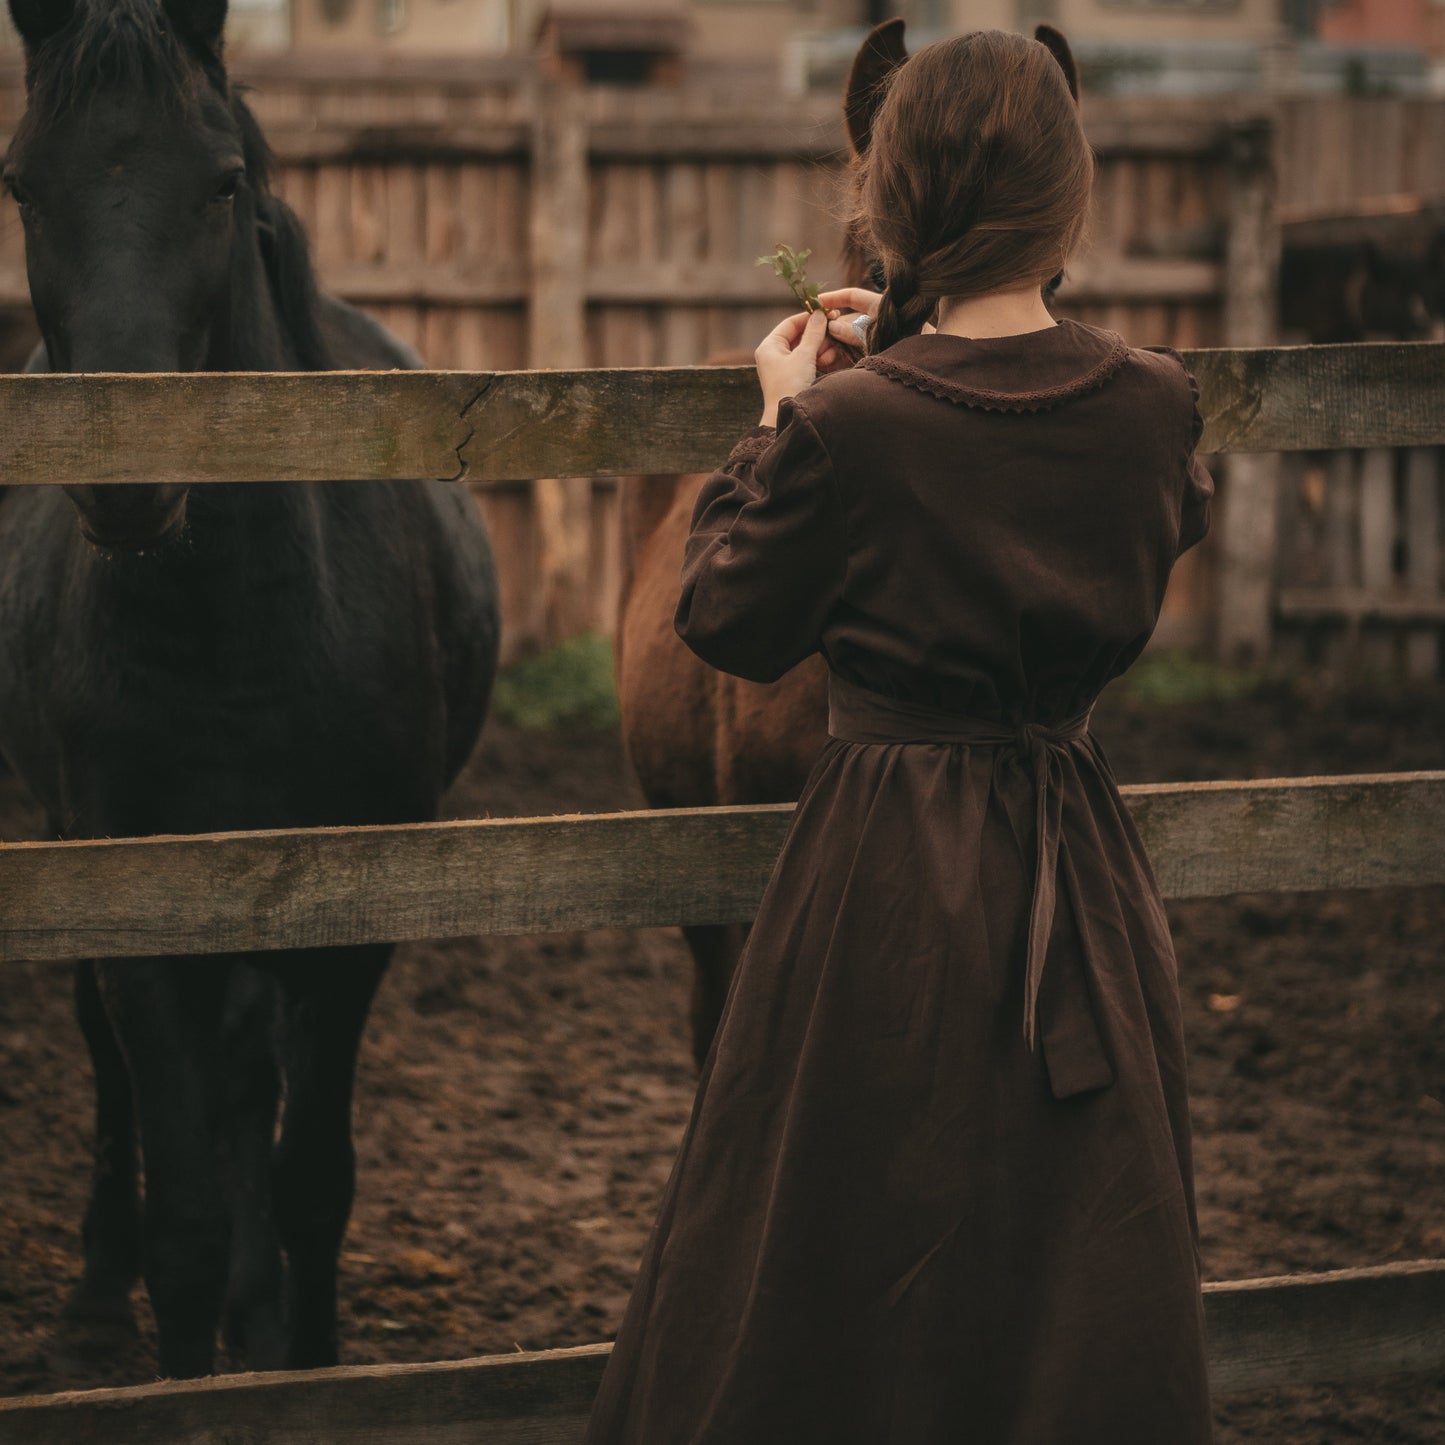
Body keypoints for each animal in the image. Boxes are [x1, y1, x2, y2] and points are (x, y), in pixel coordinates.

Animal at [0, 0, 502, 1381]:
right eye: (22, 184)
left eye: (221, 182)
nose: (127, 481)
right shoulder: (136, 895)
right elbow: (181, 1206)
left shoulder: (354, 904)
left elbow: (309, 1179)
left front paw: (302, 1355)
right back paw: (102, 1291)